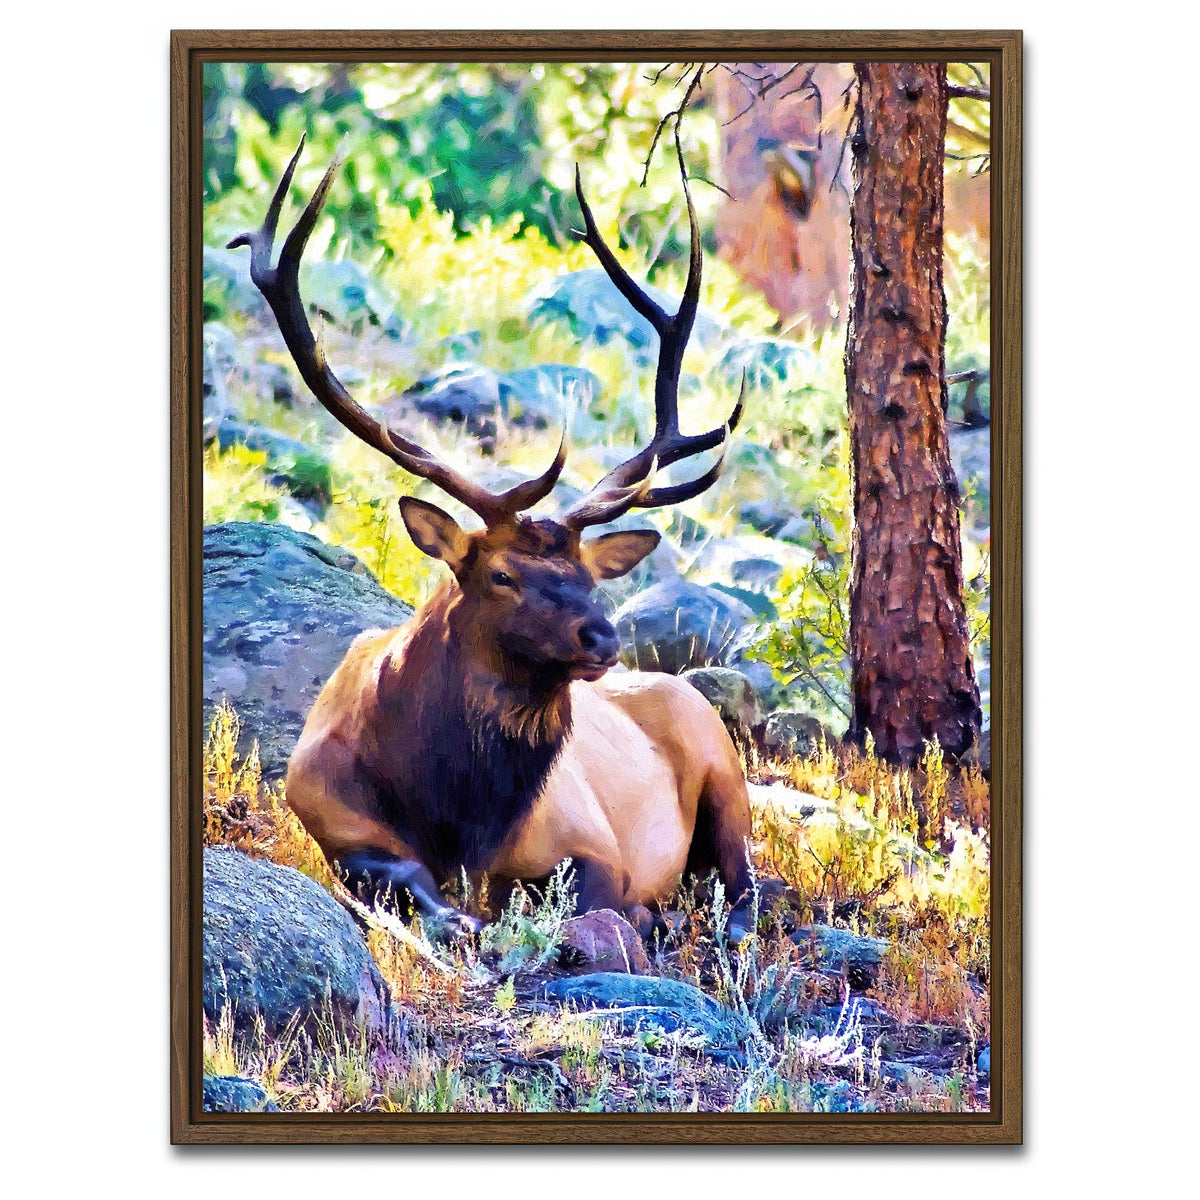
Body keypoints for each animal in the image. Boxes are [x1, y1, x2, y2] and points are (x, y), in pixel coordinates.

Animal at [229, 139, 758, 943]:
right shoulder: (332, 822)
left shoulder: (591, 840)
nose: (603, 637)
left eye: (591, 578)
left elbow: (596, 896)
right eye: (502, 576)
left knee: (748, 883)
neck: (459, 816)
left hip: (723, 763)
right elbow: (410, 883)